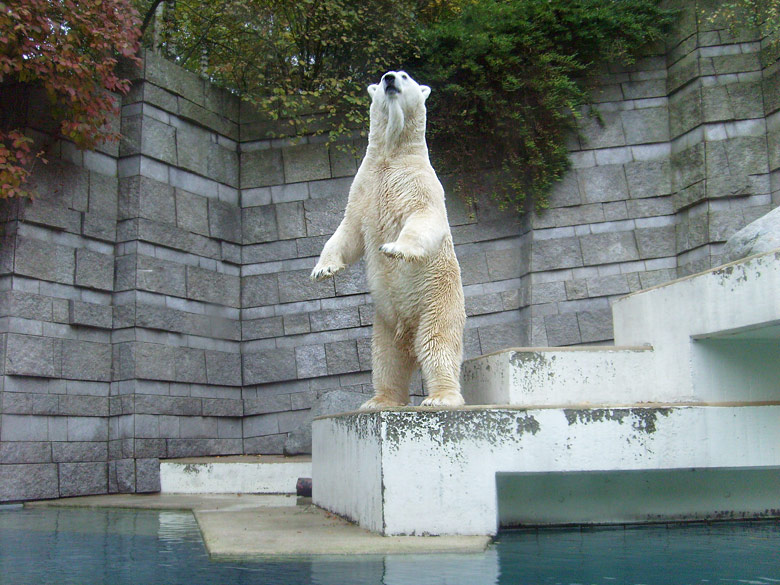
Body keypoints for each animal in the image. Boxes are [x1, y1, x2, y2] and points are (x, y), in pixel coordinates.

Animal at [312, 70, 470, 408]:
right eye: (383, 76)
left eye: (405, 76)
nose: (389, 79)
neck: (391, 156)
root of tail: (408, 335)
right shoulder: (363, 189)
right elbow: (347, 231)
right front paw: (323, 269)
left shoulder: (419, 183)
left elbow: (424, 218)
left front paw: (394, 248)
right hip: (384, 321)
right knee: (386, 359)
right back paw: (380, 400)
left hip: (437, 300)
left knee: (437, 345)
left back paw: (441, 397)